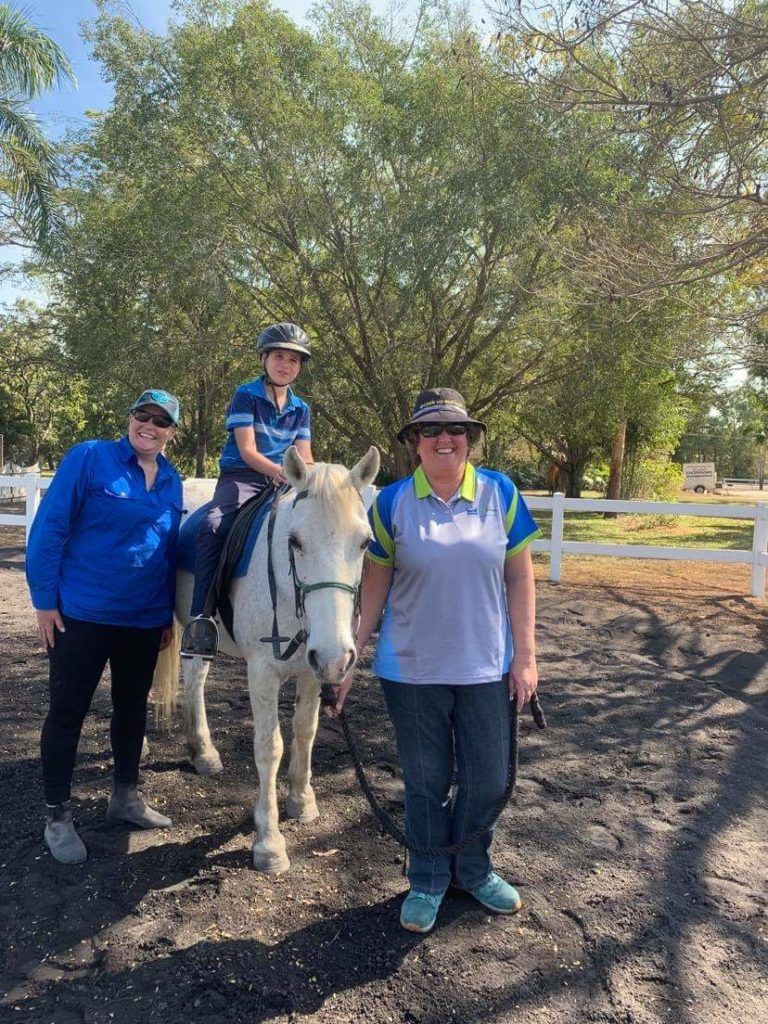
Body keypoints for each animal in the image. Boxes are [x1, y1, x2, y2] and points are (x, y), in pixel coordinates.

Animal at [153, 445, 380, 874]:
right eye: (295, 541)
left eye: (363, 543)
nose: (337, 657)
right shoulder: (261, 672)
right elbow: (269, 746)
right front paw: (269, 843)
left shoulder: (312, 668)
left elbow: (305, 730)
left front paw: (302, 801)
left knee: (195, 678)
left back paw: (203, 752)